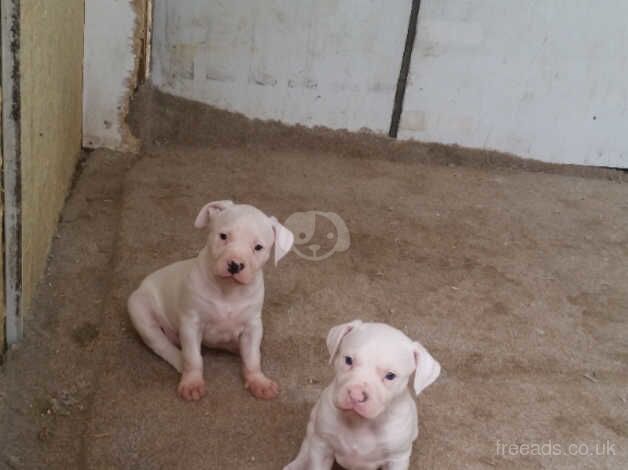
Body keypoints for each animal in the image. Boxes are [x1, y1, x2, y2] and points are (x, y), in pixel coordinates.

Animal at [129, 200, 294, 402]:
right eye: (223, 236)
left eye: (258, 247)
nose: (235, 265)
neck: (227, 290)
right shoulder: (191, 323)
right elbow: (193, 358)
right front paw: (192, 383)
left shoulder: (252, 326)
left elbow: (253, 358)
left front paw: (258, 382)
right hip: (139, 309)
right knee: (162, 345)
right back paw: (180, 360)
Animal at [286, 322, 442, 470]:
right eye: (348, 360)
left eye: (390, 376)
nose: (356, 396)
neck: (360, 422)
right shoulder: (322, 447)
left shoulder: (396, 459)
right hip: (314, 422)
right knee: (308, 441)